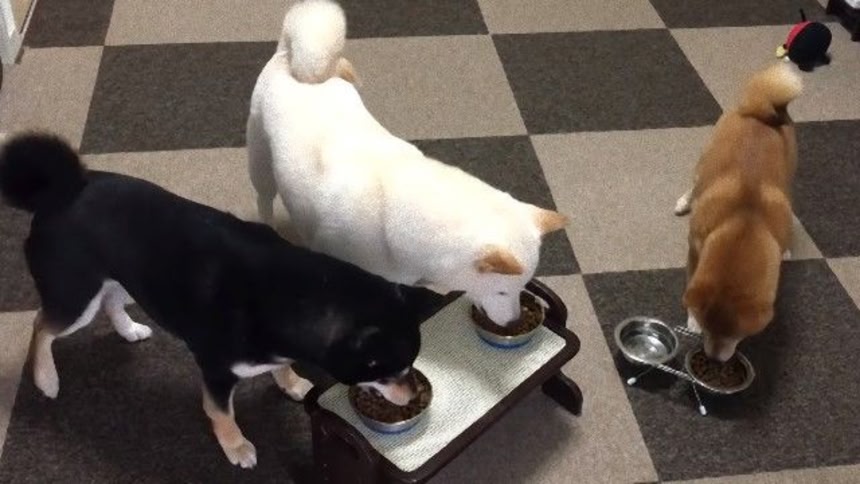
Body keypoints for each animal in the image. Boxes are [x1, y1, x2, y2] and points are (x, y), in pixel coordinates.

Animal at [0, 132, 437, 469]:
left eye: (410, 366)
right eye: (388, 372)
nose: (413, 394)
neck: (291, 296)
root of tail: (62, 189)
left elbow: (281, 367)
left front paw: (292, 382)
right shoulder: (215, 371)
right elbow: (220, 412)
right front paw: (236, 446)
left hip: (124, 278)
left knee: (110, 303)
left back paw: (129, 330)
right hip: (76, 295)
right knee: (41, 325)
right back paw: (46, 378)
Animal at [246, 0, 567, 326]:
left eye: (521, 288)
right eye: (503, 291)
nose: (515, 321)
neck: (390, 220)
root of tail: (288, 56)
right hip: (261, 163)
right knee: (264, 198)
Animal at [674, 63, 802, 362]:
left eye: (737, 335)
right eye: (707, 328)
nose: (713, 359)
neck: (744, 225)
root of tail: (760, 111)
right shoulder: (694, 249)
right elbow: (691, 281)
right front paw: (692, 320)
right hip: (705, 162)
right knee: (696, 184)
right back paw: (685, 201)